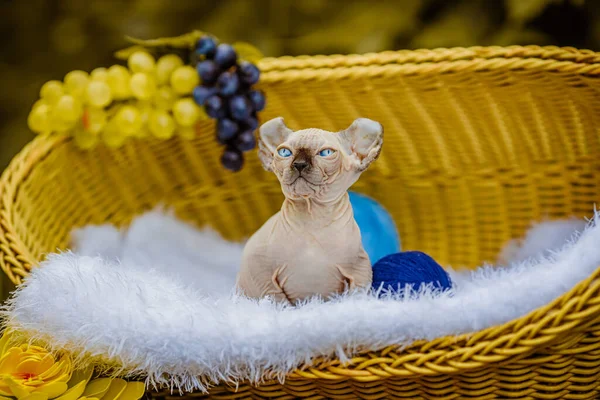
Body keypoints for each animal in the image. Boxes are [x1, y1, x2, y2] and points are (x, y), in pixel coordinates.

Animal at [236, 117, 384, 304]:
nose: (299, 164)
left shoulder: (360, 268)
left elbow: (356, 296)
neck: (312, 216)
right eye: (284, 152)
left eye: (326, 153)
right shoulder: (257, 268)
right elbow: (276, 298)